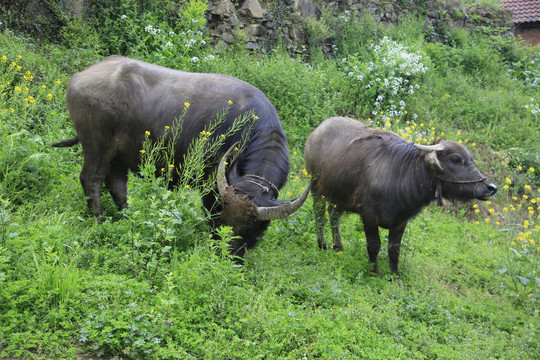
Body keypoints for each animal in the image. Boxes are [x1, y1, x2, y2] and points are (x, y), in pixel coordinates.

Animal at [53, 54, 312, 258]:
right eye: (224, 216)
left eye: (249, 228)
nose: (227, 255)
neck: (248, 128)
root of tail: (78, 78)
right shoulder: (210, 186)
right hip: (96, 146)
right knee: (92, 180)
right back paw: (99, 221)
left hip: (118, 156)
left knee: (117, 185)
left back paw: (128, 218)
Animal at [304, 116, 498, 274]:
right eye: (456, 159)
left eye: (471, 160)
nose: (491, 188)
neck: (404, 175)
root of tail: (316, 131)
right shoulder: (369, 215)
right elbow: (374, 245)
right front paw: (374, 271)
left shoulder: (401, 220)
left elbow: (394, 249)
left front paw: (394, 276)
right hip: (316, 187)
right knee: (319, 214)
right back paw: (322, 245)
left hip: (341, 197)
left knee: (334, 216)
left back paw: (338, 247)